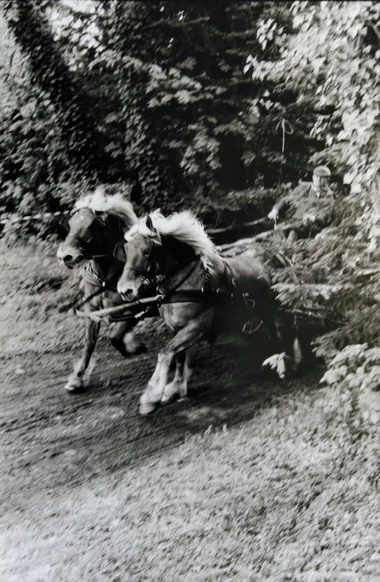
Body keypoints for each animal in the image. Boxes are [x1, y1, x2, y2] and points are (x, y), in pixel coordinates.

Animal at [56, 189, 147, 394]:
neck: (107, 278)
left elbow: (115, 336)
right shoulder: (92, 312)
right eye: (71, 225)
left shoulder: (135, 309)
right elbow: (89, 344)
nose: (65, 256)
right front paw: (77, 378)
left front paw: (134, 347)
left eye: (92, 225)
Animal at [117, 210, 302, 416]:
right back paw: (278, 357)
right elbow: (178, 356)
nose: (125, 290)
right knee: (273, 329)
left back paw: (294, 361)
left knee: (292, 327)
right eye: (127, 250)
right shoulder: (176, 328)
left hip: (281, 302)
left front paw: (151, 398)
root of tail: (277, 252)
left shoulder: (197, 326)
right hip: (263, 308)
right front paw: (176, 388)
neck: (185, 283)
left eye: (146, 251)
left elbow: (165, 353)